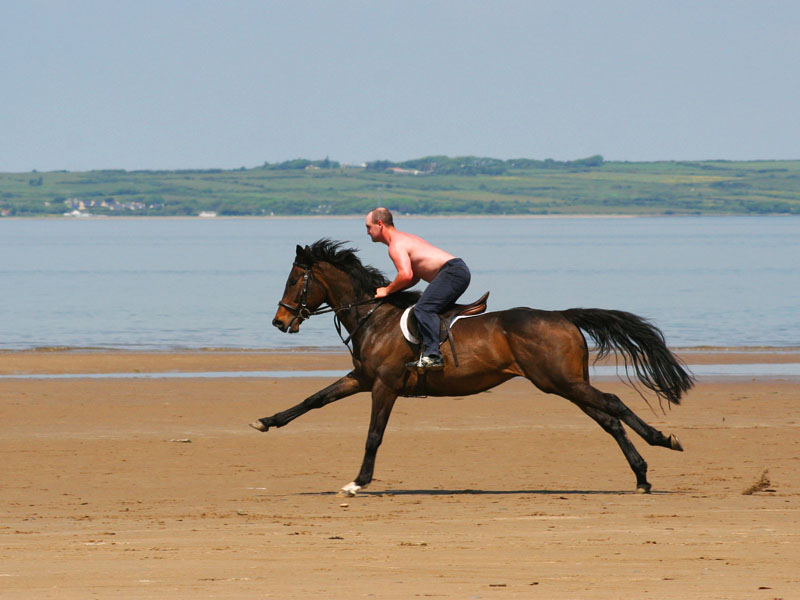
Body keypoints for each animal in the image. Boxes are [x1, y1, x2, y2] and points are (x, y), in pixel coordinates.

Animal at [251, 239, 694, 496]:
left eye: (294, 280)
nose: (278, 321)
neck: (372, 316)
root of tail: (563, 316)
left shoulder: (385, 385)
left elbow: (373, 435)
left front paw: (358, 482)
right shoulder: (363, 378)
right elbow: (314, 399)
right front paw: (267, 421)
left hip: (558, 381)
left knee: (614, 403)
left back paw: (663, 442)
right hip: (566, 383)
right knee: (608, 419)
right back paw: (641, 475)